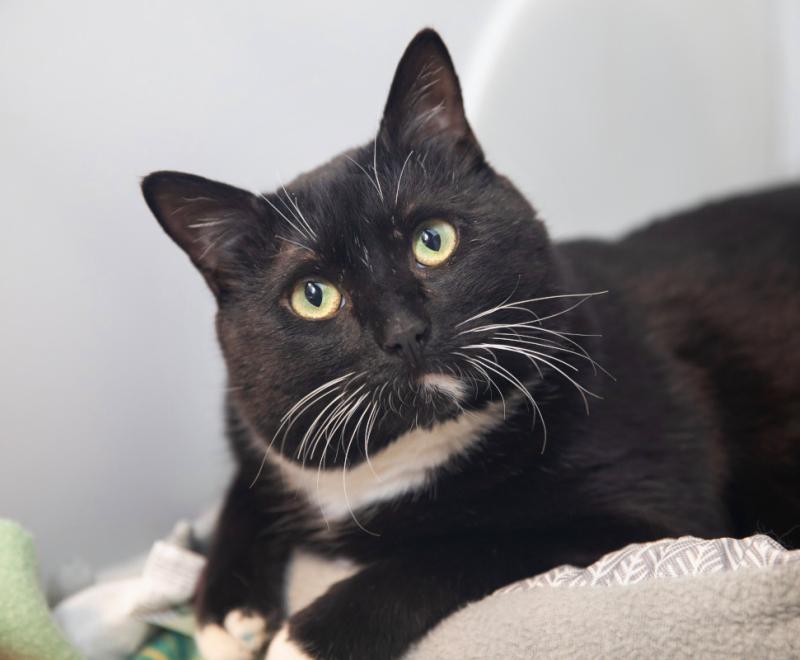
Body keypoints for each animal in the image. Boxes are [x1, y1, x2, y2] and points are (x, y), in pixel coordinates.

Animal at [141, 28, 796, 656]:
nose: (403, 331)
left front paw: (305, 640)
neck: (408, 452)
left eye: (433, 240)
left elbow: (457, 551)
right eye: (314, 296)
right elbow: (245, 486)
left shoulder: (652, 509)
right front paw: (227, 613)